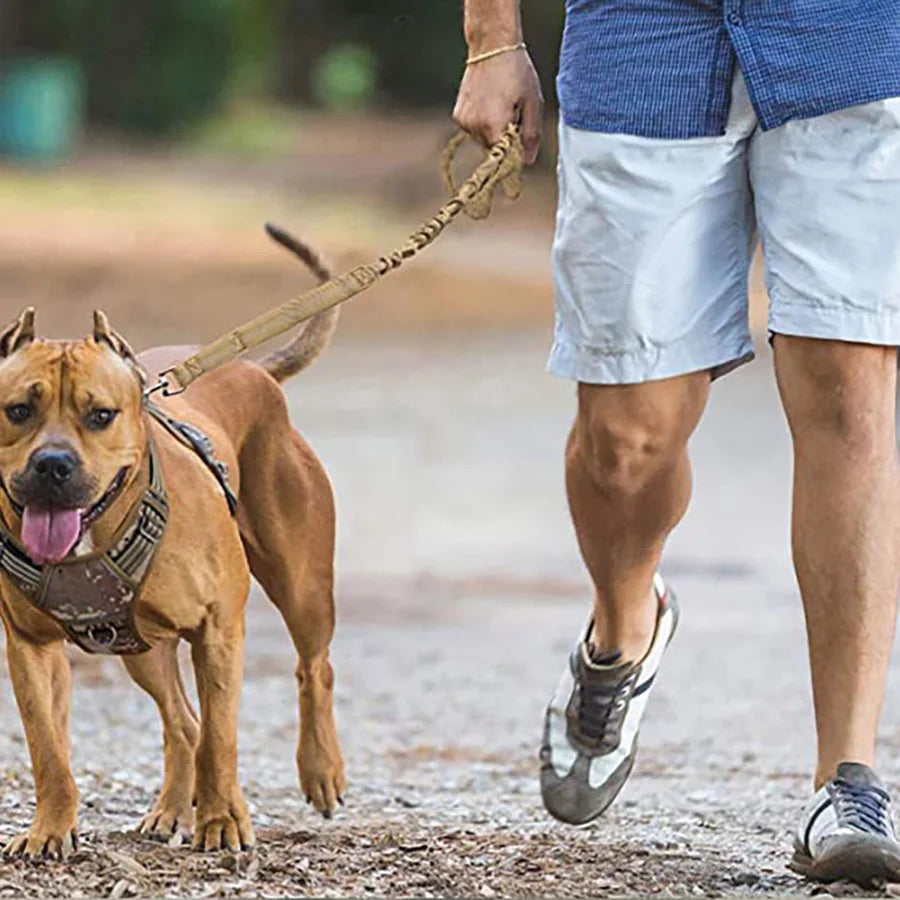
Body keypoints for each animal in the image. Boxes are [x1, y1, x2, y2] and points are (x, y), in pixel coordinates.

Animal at [0, 232, 344, 856]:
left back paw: (320, 770)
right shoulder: (30, 648)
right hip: (141, 648)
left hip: (302, 585)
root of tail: (252, 369)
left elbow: (222, 737)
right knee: (183, 722)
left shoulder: (219, 630)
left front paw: (222, 820)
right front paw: (50, 830)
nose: (52, 464)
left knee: (313, 668)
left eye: (101, 415)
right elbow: (49, 750)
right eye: (18, 410)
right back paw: (170, 809)